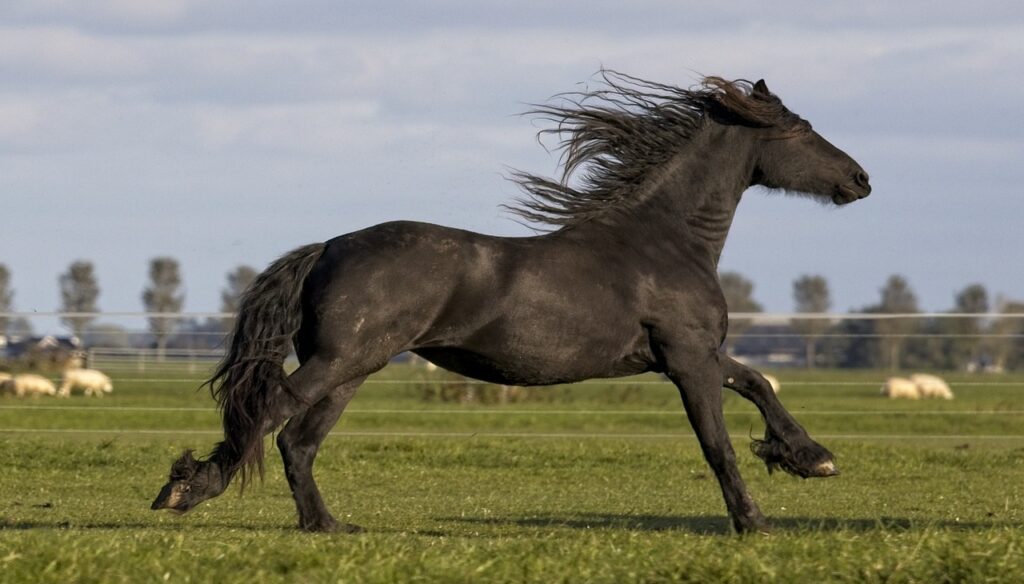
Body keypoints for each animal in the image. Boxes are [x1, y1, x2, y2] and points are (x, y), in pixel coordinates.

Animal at [151, 71, 871, 534]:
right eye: (802, 131)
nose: (860, 179)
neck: (665, 239)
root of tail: (327, 247)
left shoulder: (688, 355)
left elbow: (758, 383)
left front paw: (810, 458)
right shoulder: (687, 359)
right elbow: (718, 442)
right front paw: (755, 522)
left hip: (351, 369)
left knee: (297, 440)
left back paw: (327, 526)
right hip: (341, 362)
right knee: (271, 417)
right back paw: (186, 489)